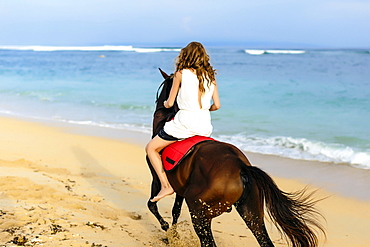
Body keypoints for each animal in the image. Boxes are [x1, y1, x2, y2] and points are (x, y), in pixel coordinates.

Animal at [146, 69, 326, 247]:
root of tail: (241, 166)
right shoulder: (180, 190)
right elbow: (175, 211)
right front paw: (172, 235)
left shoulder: (157, 179)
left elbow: (152, 205)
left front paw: (166, 228)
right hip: (252, 214)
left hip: (199, 212)